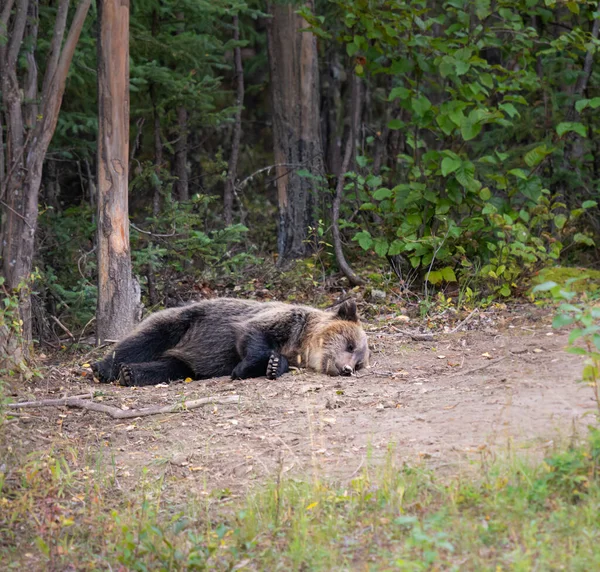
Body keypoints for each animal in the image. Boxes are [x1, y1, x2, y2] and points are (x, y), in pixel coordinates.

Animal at [91, 298, 368, 386]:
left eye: (359, 364)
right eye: (350, 345)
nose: (347, 368)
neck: (301, 345)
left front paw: (274, 366)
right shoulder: (288, 320)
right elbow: (253, 333)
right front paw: (242, 368)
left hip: (187, 359)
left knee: (171, 367)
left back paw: (130, 374)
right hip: (186, 322)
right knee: (146, 339)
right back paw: (103, 368)